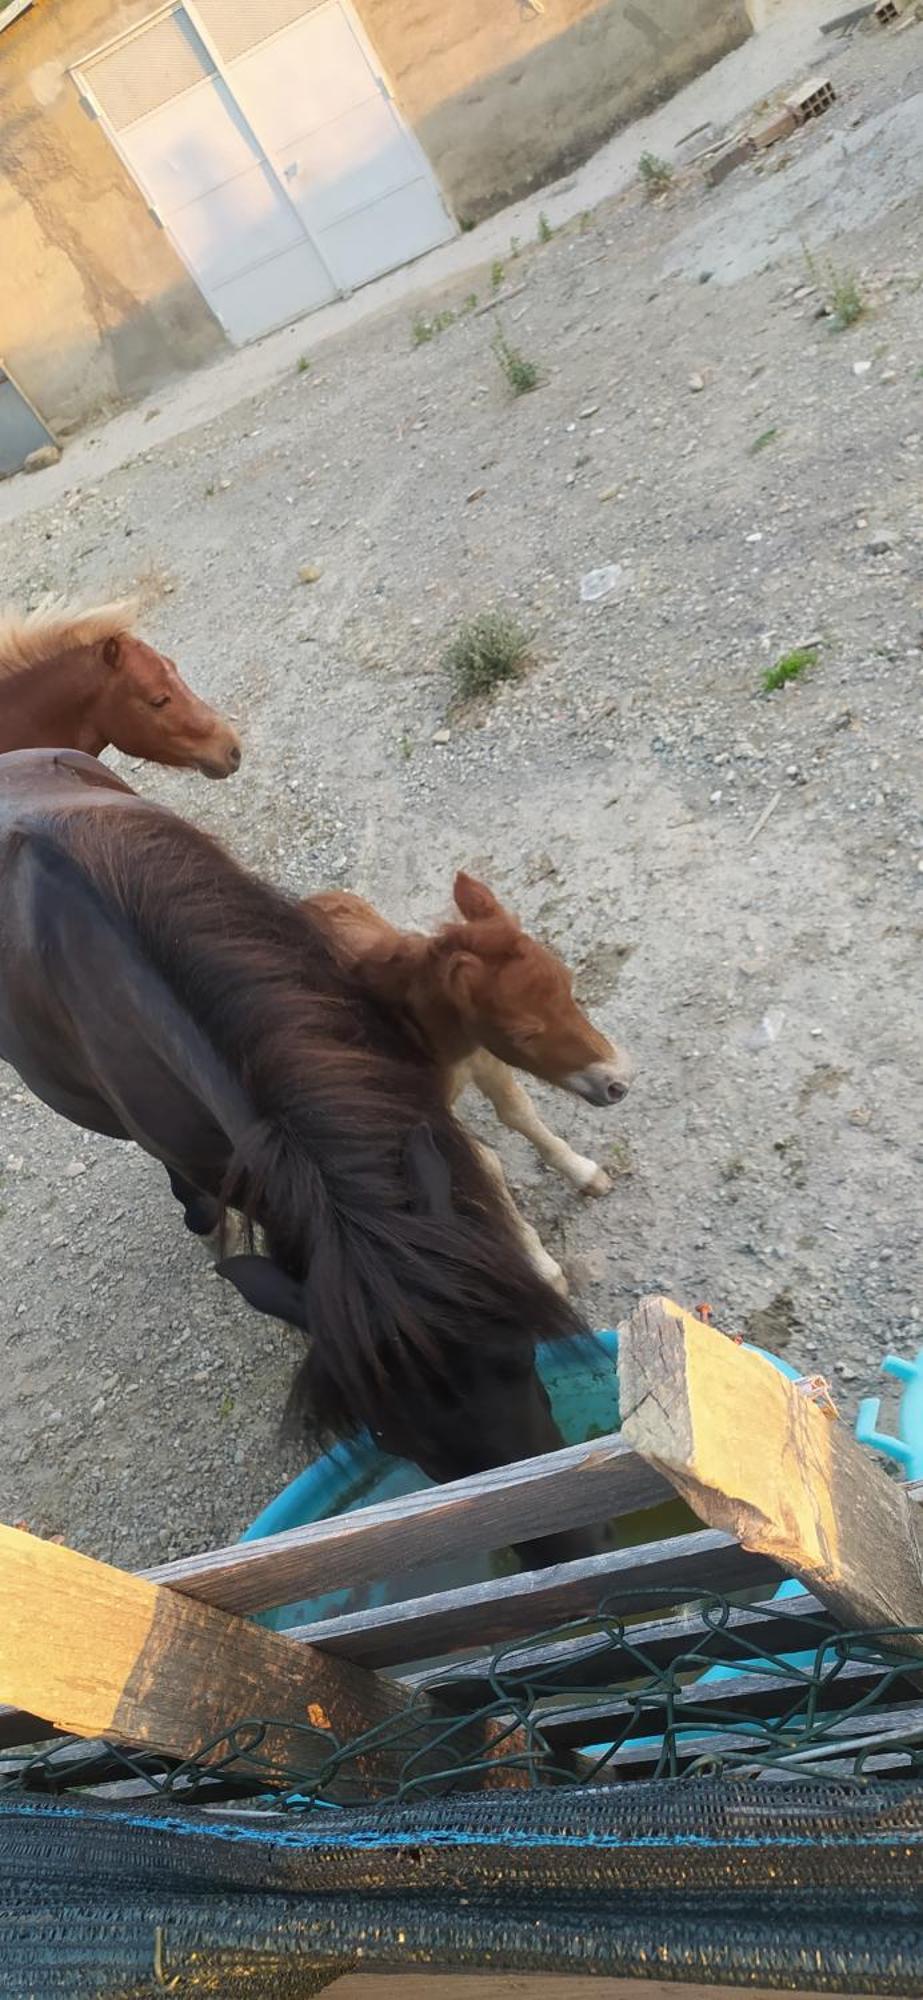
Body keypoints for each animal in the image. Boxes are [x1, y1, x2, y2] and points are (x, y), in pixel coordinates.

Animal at [305, 876, 631, 1296]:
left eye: (567, 982)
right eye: (523, 1033)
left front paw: (585, 1173)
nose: (616, 1083)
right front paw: (544, 1268)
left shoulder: (486, 1060)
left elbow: (519, 1112)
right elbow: (486, 1163)